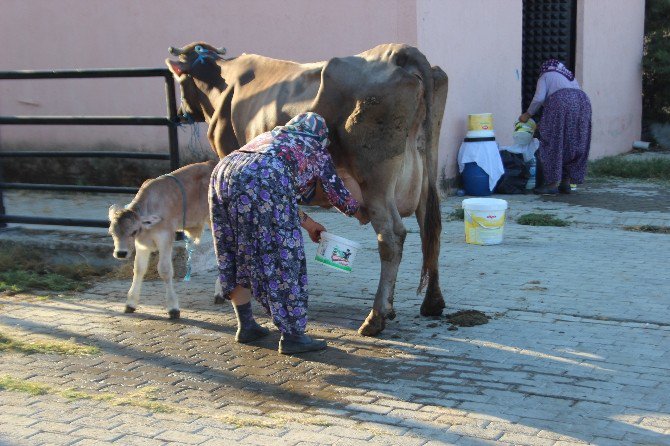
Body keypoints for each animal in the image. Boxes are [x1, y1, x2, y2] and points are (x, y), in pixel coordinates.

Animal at [109, 162, 217, 318]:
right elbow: (139, 269)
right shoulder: (142, 244)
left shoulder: (165, 238)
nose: (121, 253)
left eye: (133, 231)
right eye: (112, 232)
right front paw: (130, 304)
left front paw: (173, 308)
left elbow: (165, 270)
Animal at [167, 42, 448, 334]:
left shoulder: (225, 151)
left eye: (180, 80)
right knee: (431, 230)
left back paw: (376, 317)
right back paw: (431, 303)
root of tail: (400, 51)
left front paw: (224, 290)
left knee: (392, 237)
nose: (178, 114)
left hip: (376, 180)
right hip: (426, 170)